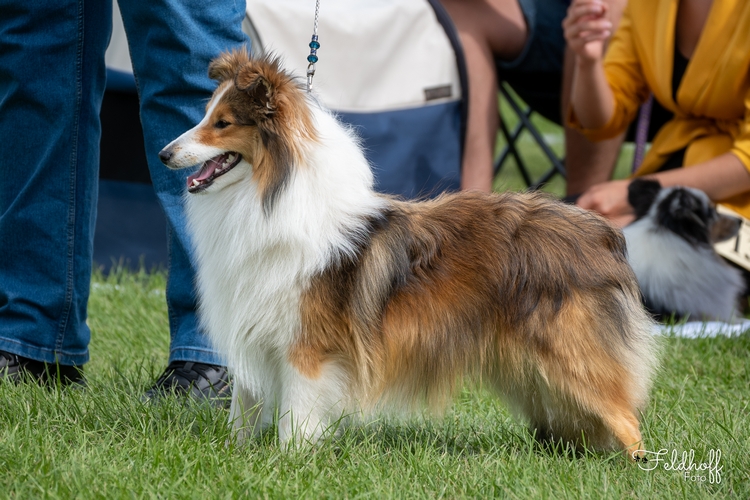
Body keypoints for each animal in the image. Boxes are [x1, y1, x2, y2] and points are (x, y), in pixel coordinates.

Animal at [159, 49, 656, 458]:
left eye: (223, 123)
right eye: (206, 115)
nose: (164, 155)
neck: (266, 196)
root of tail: (602, 232)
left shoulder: (308, 349)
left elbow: (296, 419)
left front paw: (287, 464)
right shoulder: (254, 331)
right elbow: (242, 412)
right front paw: (234, 455)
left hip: (572, 357)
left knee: (628, 419)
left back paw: (637, 467)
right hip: (535, 372)